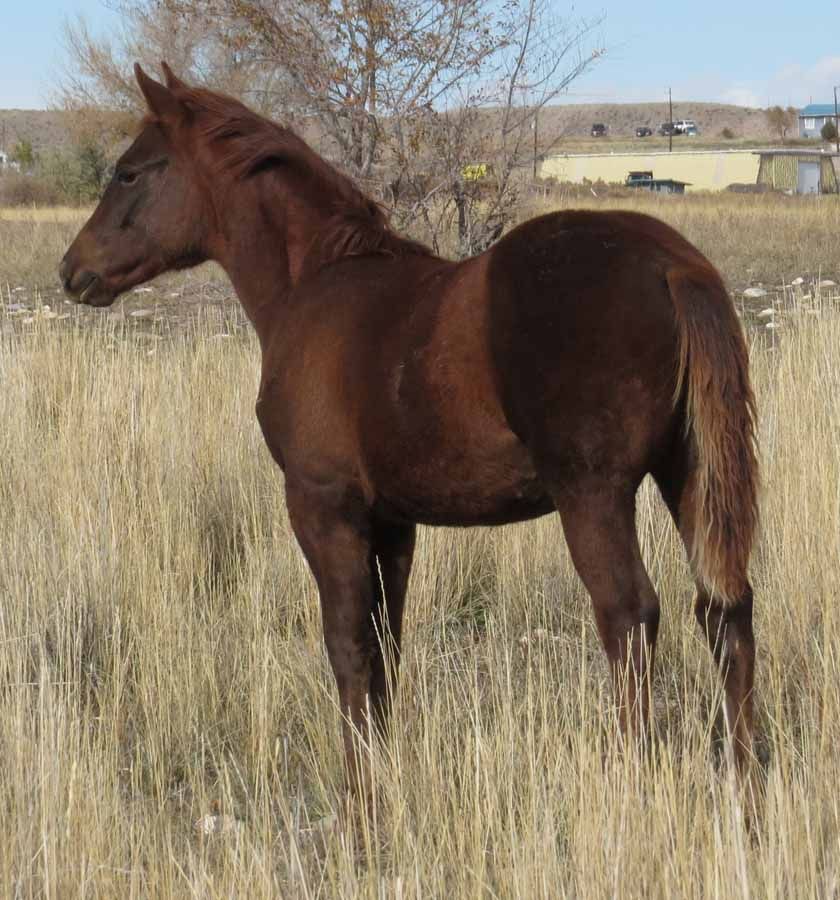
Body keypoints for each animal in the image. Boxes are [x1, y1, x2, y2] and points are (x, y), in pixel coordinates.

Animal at [60, 63, 759, 791]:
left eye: (129, 172)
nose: (73, 271)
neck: (314, 282)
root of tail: (672, 263)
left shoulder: (322, 504)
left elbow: (346, 643)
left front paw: (358, 788)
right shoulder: (393, 520)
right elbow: (385, 644)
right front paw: (384, 761)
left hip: (593, 494)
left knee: (629, 614)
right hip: (688, 476)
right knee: (724, 606)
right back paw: (744, 782)